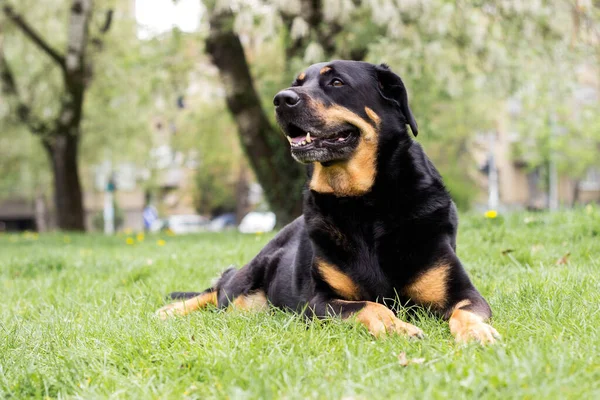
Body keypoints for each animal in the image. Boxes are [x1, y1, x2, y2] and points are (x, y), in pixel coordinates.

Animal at [157, 59, 500, 344]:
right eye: (297, 83)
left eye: (336, 82)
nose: (281, 99)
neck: (364, 204)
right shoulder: (318, 302)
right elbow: (369, 305)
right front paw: (395, 326)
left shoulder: (463, 292)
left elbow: (466, 311)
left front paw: (476, 332)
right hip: (249, 281)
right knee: (221, 288)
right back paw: (171, 310)